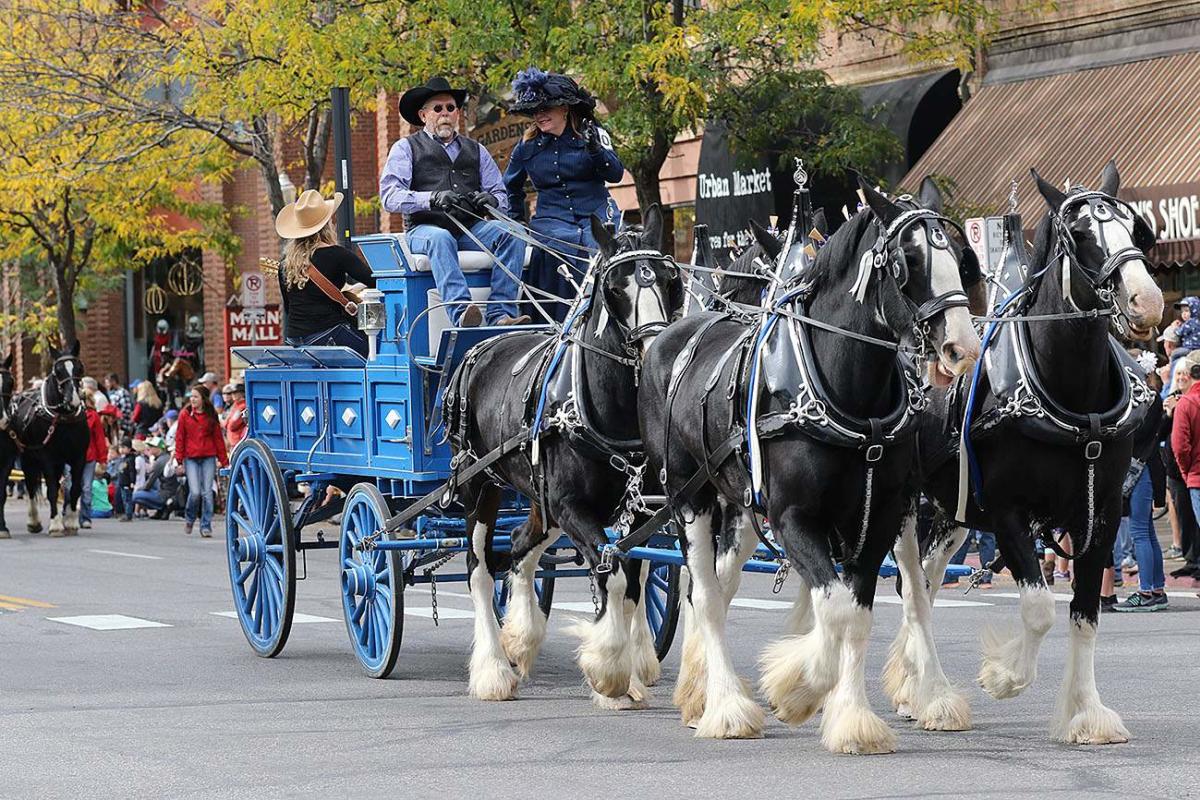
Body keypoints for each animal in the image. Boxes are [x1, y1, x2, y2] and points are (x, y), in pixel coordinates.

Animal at [9, 343, 89, 537]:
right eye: (58, 371)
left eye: (79, 368)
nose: (73, 400)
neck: (63, 418)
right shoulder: (47, 458)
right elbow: (52, 490)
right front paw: (56, 525)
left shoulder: (78, 457)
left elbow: (75, 488)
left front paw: (71, 522)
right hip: (28, 458)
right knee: (30, 486)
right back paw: (34, 522)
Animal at [444, 208, 681, 705]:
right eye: (616, 287)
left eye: (670, 279)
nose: (656, 354)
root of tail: (481, 345)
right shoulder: (574, 507)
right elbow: (612, 574)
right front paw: (608, 670)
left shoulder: (634, 509)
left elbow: (632, 582)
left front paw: (627, 676)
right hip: (479, 485)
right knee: (479, 568)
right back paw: (493, 669)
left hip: (541, 502)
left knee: (518, 549)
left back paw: (519, 640)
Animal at [643, 178, 979, 748]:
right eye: (907, 260)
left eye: (959, 258)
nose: (962, 346)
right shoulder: (794, 518)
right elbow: (836, 607)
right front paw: (799, 686)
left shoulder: (878, 516)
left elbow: (857, 612)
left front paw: (849, 716)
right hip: (690, 497)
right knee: (704, 594)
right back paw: (725, 706)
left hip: (742, 507)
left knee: (722, 588)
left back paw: (700, 692)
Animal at [888, 160, 1166, 743]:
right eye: (1079, 235)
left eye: (1136, 229)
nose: (1148, 301)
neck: (1071, 396)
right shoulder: (1009, 512)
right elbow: (1039, 608)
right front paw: (1002, 676)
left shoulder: (1101, 514)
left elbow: (1085, 611)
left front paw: (1086, 712)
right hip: (902, 504)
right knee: (911, 587)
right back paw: (932, 697)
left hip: (953, 513)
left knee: (926, 579)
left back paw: (911, 687)